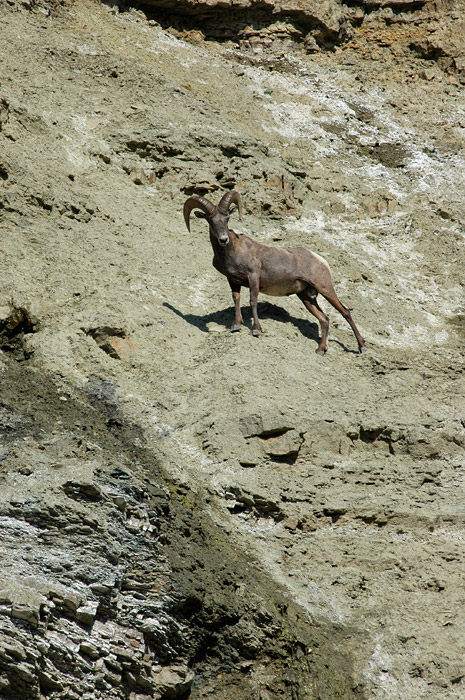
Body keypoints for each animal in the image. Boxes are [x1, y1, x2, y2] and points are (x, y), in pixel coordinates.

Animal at [183, 191, 364, 356]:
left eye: (227, 218)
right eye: (210, 220)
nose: (223, 239)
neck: (232, 252)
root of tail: (321, 260)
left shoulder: (253, 277)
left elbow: (253, 301)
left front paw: (256, 330)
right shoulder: (233, 281)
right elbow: (236, 299)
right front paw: (236, 325)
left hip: (324, 288)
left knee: (345, 312)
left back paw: (361, 346)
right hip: (306, 297)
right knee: (324, 319)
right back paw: (321, 350)